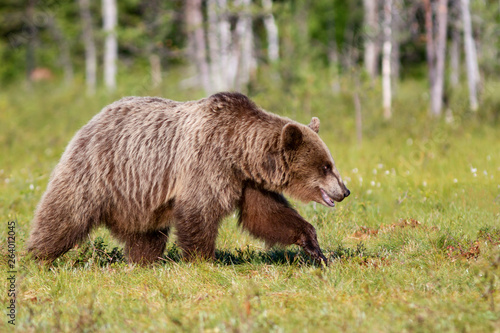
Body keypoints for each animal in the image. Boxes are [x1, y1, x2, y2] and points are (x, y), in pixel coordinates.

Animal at [26, 92, 348, 264]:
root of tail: (94, 118)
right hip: (99, 170)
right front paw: (204, 259)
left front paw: (314, 247)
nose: (344, 190)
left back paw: (144, 261)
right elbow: (199, 212)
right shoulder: (206, 163)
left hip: (140, 195)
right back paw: (37, 257)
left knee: (147, 233)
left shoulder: (247, 182)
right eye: (325, 166)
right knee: (64, 214)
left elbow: (266, 216)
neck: (239, 151)